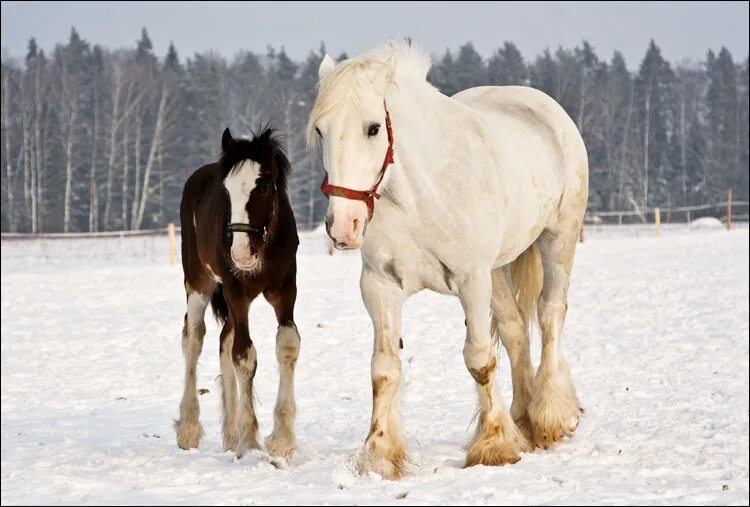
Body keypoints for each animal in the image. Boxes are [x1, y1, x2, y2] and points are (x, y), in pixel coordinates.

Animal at [308, 40, 592, 480]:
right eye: (321, 130)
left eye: (373, 128)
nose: (344, 225)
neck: (419, 196)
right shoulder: (380, 286)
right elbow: (384, 368)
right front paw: (380, 454)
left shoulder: (471, 281)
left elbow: (479, 360)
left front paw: (493, 445)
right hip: (497, 271)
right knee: (515, 330)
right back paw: (523, 420)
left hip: (557, 241)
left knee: (549, 316)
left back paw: (549, 417)